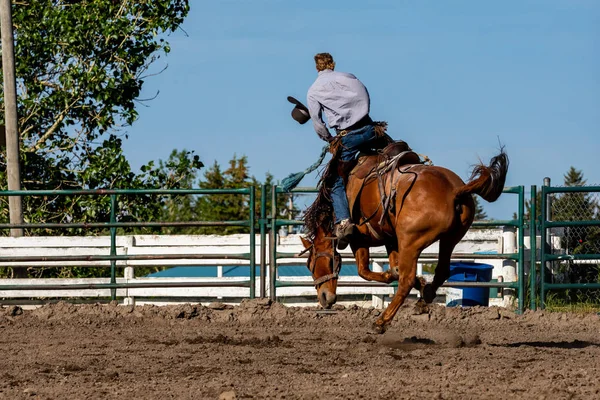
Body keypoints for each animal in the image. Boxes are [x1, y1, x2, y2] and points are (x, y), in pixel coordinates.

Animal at [300, 148, 506, 332]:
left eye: (311, 264)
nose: (324, 298)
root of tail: (454, 190)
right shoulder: (391, 240)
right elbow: (395, 268)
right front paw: (419, 282)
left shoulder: (358, 240)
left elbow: (365, 271)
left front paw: (394, 277)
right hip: (450, 238)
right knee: (441, 271)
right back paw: (425, 297)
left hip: (410, 241)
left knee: (406, 280)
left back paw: (381, 322)